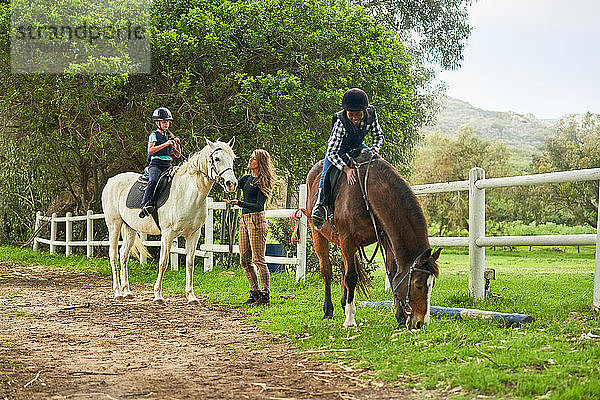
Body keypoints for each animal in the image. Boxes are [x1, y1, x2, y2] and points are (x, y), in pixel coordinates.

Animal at [101, 138, 237, 304]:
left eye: (232, 159)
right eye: (217, 159)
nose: (232, 184)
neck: (187, 194)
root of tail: (111, 181)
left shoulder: (194, 235)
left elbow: (189, 263)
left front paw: (191, 296)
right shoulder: (167, 234)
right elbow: (163, 262)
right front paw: (158, 295)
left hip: (130, 228)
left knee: (123, 254)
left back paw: (126, 291)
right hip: (114, 224)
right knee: (113, 254)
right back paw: (118, 292)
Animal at [304, 152, 440, 330]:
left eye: (432, 285)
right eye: (418, 284)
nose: (420, 323)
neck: (367, 192)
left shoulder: (385, 239)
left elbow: (393, 275)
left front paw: (400, 318)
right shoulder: (347, 239)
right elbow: (351, 277)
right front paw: (350, 319)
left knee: (342, 267)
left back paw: (343, 304)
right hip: (318, 234)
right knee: (327, 270)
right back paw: (329, 310)